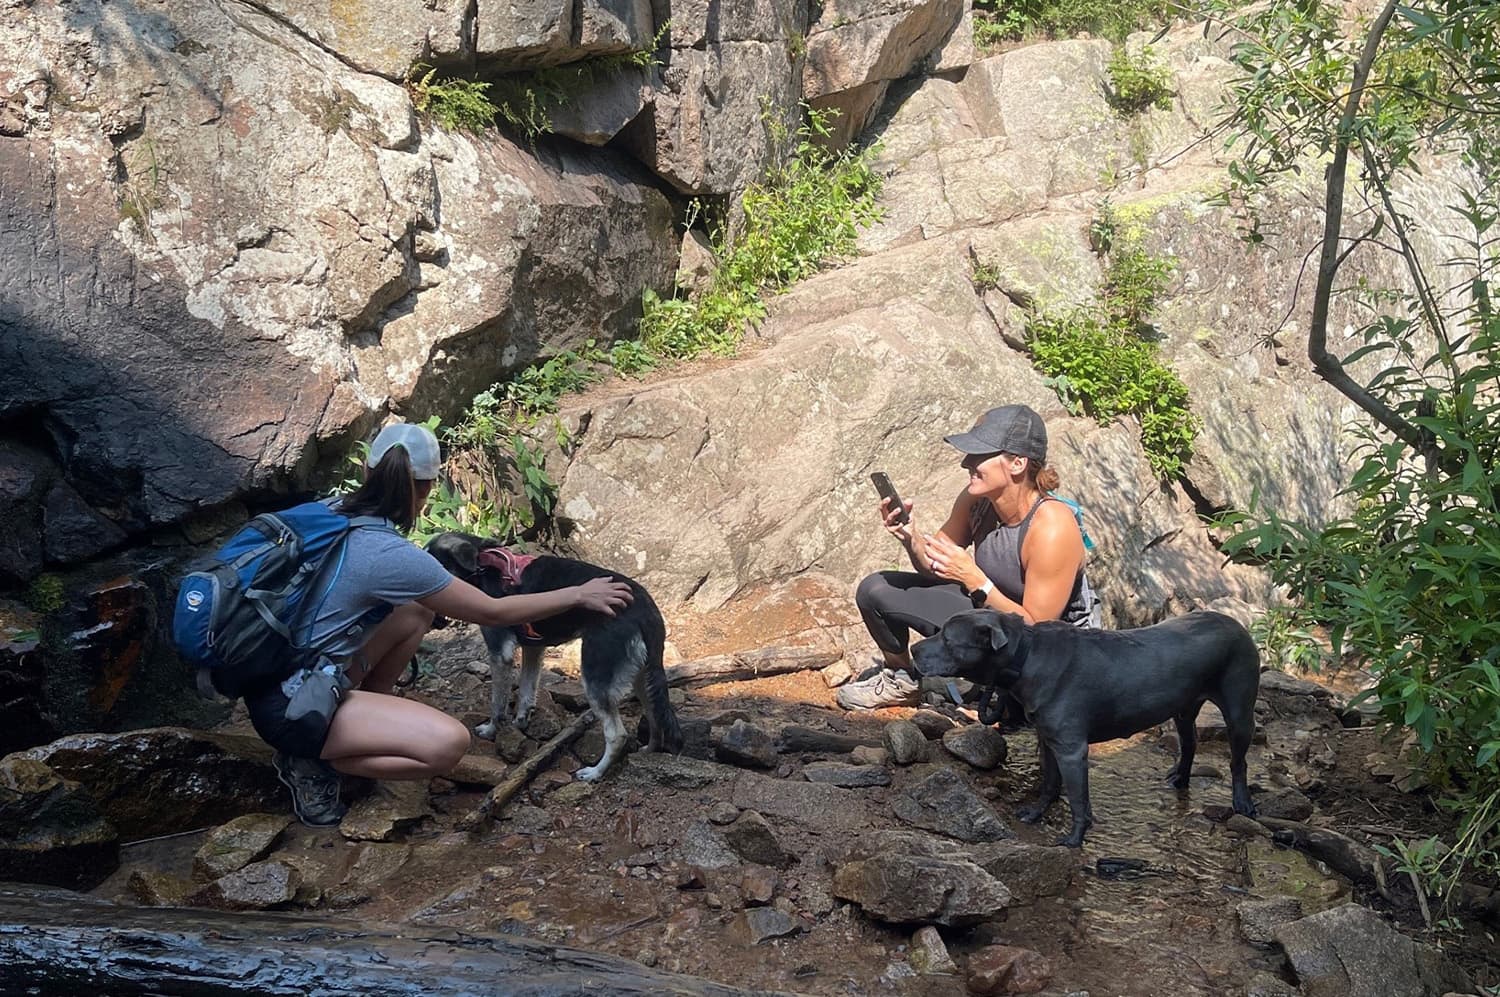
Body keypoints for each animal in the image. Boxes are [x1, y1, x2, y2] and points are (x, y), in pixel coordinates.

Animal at [423, 533, 681, 779]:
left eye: (437, 567)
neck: (482, 565)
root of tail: (646, 612)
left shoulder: (500, 652)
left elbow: (497, 703)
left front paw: (490, 730)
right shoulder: (533, 648)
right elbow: (526, 691)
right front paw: (521, 721)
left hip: (596, 674)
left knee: (617, 734)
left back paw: (595, 773)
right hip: (642, 674)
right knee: (655, 716)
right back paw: (648, 751)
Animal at [906, 605, 1260, 845]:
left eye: (948, 639)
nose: (912, 648)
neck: (1025, 657)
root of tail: (1237, 625)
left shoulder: (1072, 750)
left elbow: (1078, 798)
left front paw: (1074, 838)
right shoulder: (1049, 741)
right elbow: (1049, 783)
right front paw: (1035, 813)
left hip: (1239, 709)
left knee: (1238, 761)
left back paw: (1242, 803)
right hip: (1184, 708)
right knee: (1189, 743)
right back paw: (1180, 779)